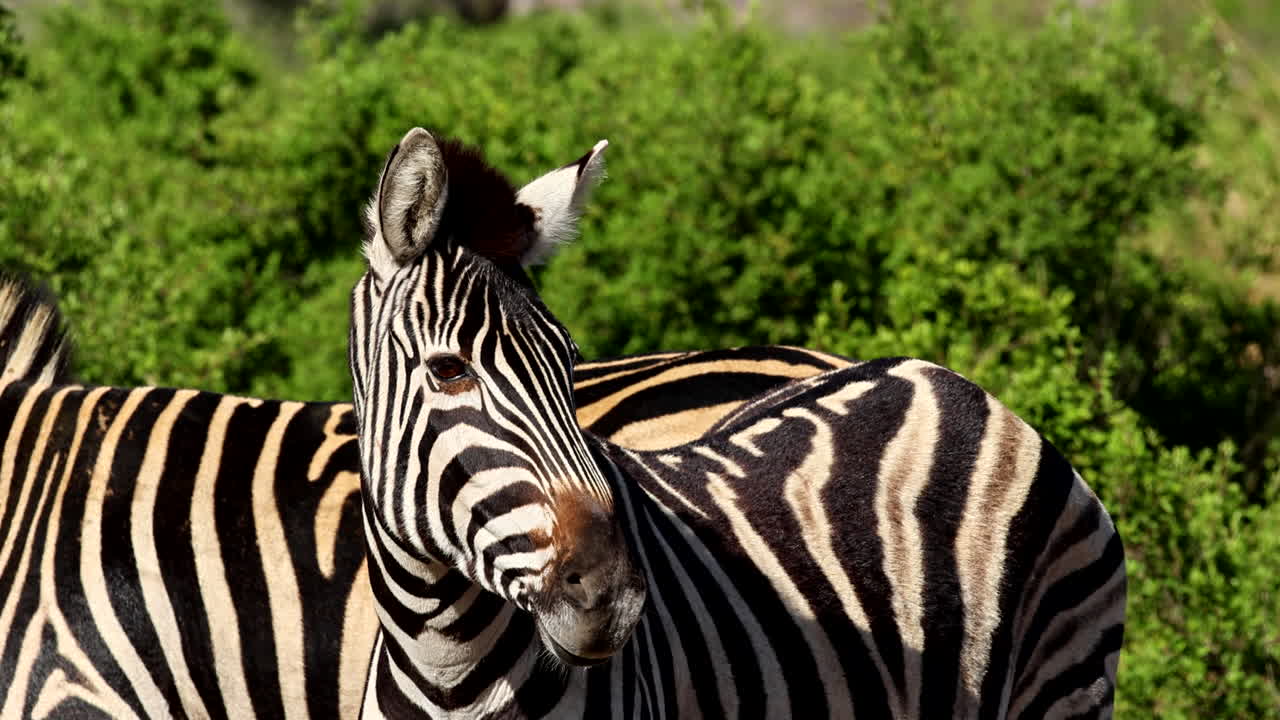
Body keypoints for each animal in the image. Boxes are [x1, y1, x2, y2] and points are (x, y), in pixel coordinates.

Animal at [350, 127, 1126, 719]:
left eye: (570, 363)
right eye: (448, 370)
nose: (611, 599)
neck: (446, 668)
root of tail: (948, 381)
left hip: (1066, 682)